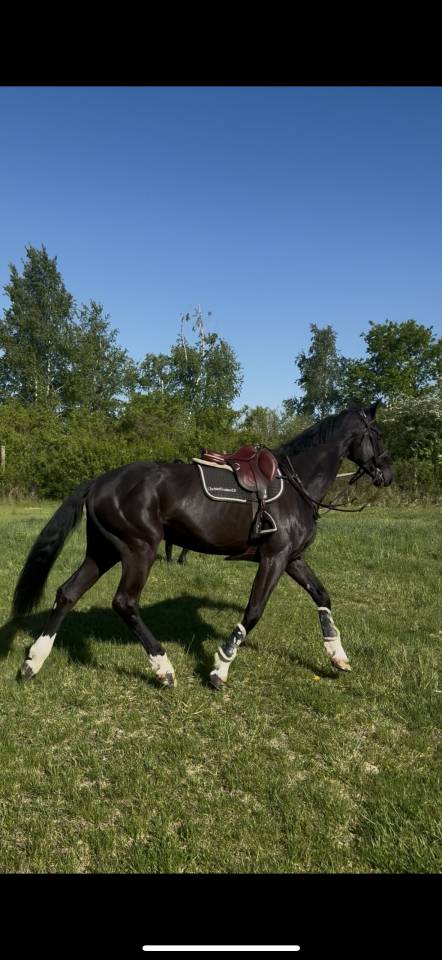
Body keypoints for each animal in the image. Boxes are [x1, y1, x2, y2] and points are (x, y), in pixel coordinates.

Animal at [11, 402, 393, 690]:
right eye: (377, 435)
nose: (388, 475)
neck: (296, 485)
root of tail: (100, 481)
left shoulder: (292, 558)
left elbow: (322, 596)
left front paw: (337, 654)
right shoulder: (274, 559)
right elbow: (253, 612)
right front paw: (220, 667)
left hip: (104, 551)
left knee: (67, 593)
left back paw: (33, 661)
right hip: (139, 550)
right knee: (125, 603)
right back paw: (163, 668)